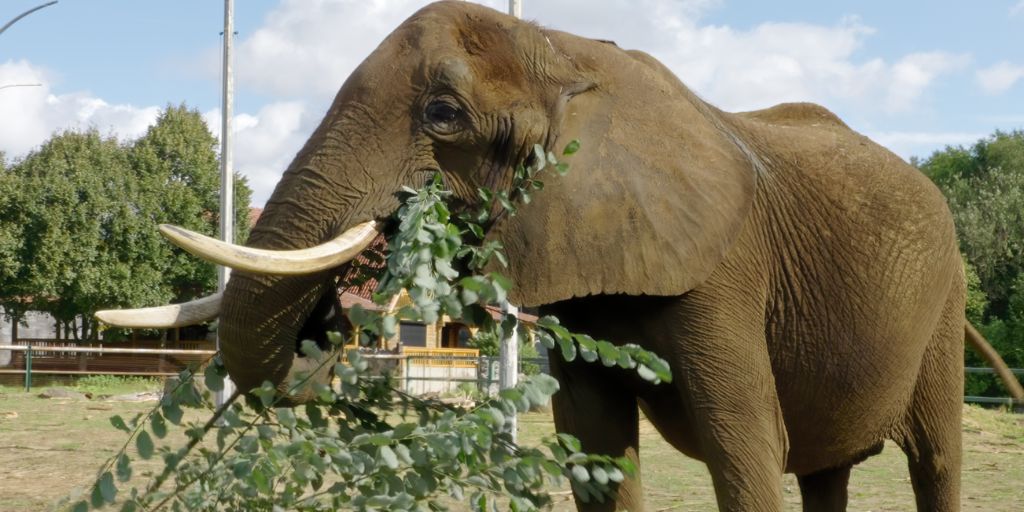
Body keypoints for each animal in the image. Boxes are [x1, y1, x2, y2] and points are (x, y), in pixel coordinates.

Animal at [97, 2, 1024, 511]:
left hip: (945, 300)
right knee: (826, 470)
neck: (567, 47)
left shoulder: (725, 273)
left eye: (442, 114)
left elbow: (745, 446)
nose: (329, 323)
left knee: (934, 459)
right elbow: (595, 445)